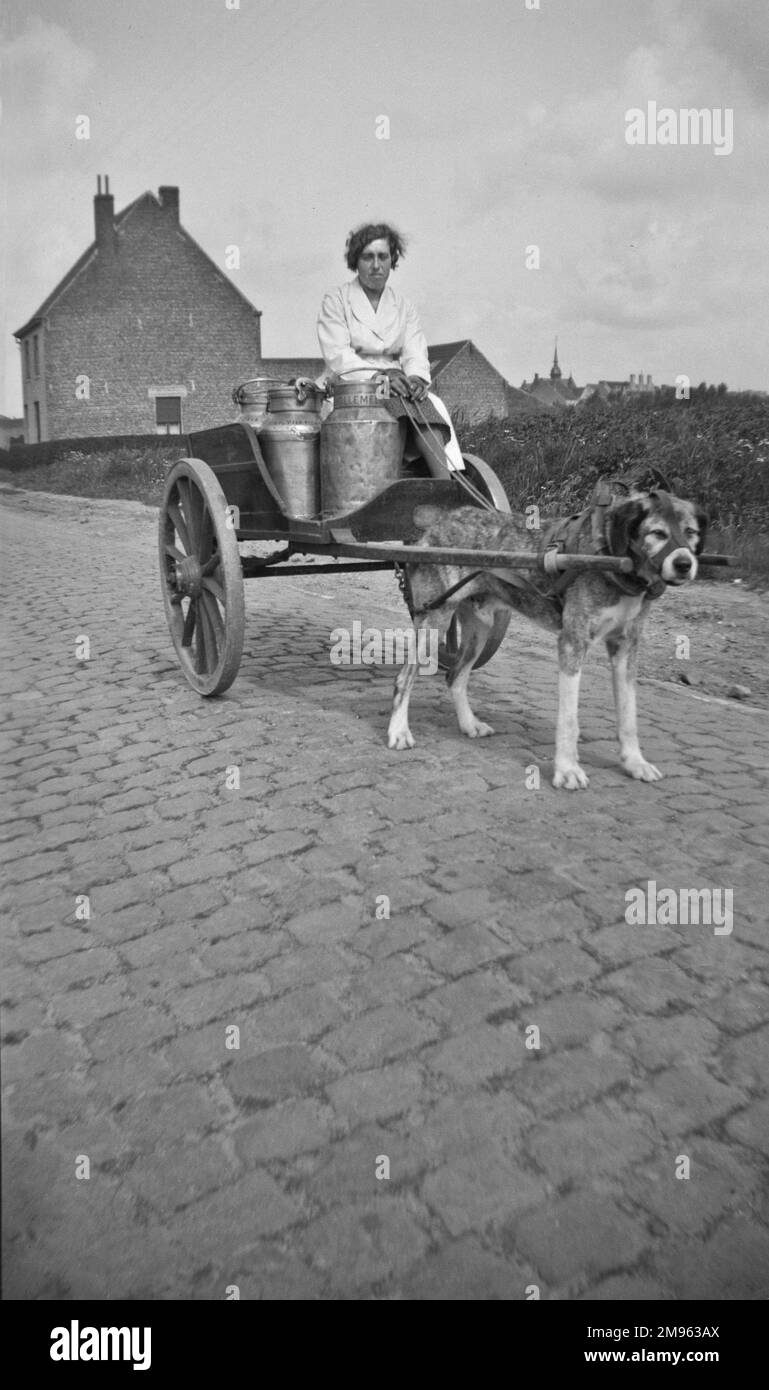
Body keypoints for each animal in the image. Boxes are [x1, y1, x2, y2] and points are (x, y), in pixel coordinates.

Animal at [386, 483, 703, 789]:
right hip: (434, 621)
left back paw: (468, 724)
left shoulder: (625, 647)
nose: (684, 564)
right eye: (658, 533)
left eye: (691, 532)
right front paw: (568, 770)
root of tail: (435, 526)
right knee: (405, 678)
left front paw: (635, 763)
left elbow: (628, 715)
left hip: (479, 628)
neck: (610, 555)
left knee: (455, 676)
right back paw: (399, 731)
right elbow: (569, 719)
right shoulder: (572, 643)